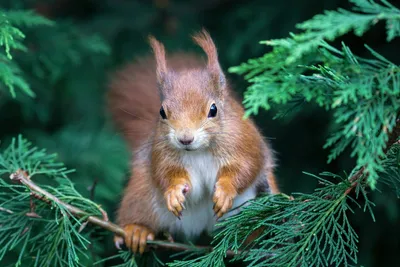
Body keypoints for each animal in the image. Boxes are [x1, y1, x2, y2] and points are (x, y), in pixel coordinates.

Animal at [108, 29, 280, 255]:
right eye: (162, 112)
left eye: (213, 109)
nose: (185, 139)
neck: (200, 150)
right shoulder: (161, 153)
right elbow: (165, 172)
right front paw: (174, 191)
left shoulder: (244, 142)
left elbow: (246, 167)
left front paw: (225, 189)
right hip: (142, 194)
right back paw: (137, 229)